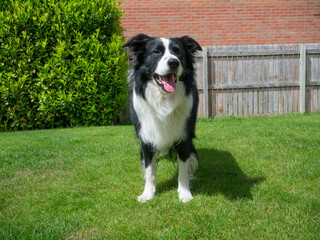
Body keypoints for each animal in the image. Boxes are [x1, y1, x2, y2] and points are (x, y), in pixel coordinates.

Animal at [122, 33, 200, 202]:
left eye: (179, 52)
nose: (174, 62)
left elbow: (183, 166)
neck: (164, 100)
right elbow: (150, 168)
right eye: (156, 52)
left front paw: (184, 193)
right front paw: (148, 193)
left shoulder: (184, 136)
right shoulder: (146, 137)